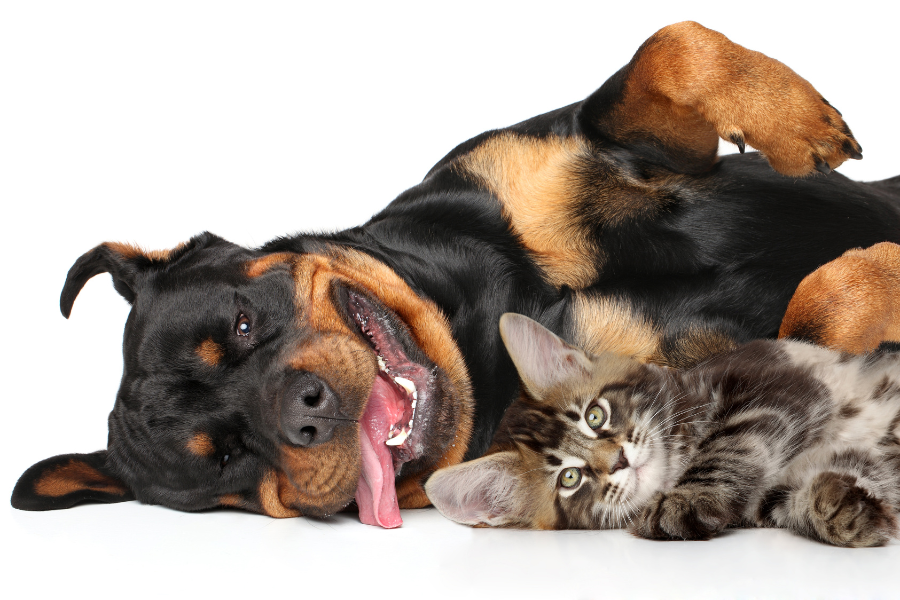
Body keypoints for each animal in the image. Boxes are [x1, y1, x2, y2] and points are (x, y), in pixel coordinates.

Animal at [424, 312, 900, 548]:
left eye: (595, 416)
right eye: (569, 478)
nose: (618, 459)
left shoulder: (777, 387)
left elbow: (727, 446)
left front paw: (684, 499)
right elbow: (798, 498)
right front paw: (841, 511)